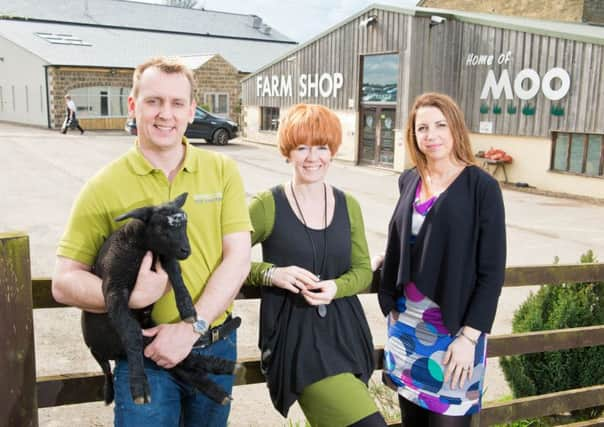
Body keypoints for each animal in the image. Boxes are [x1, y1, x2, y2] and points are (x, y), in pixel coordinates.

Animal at [79, 194, 238, 408]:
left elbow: (175, 272)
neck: (139, 246)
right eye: (163, 229)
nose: (186, 251)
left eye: (185, 224)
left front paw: (187, 309)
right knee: (161, 353)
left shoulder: (164, 255)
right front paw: (139, 388)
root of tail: (98, 353)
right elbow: (131, 333)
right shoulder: (114, 288)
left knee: (176, 363)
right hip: (120, 337)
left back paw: (221, 378)